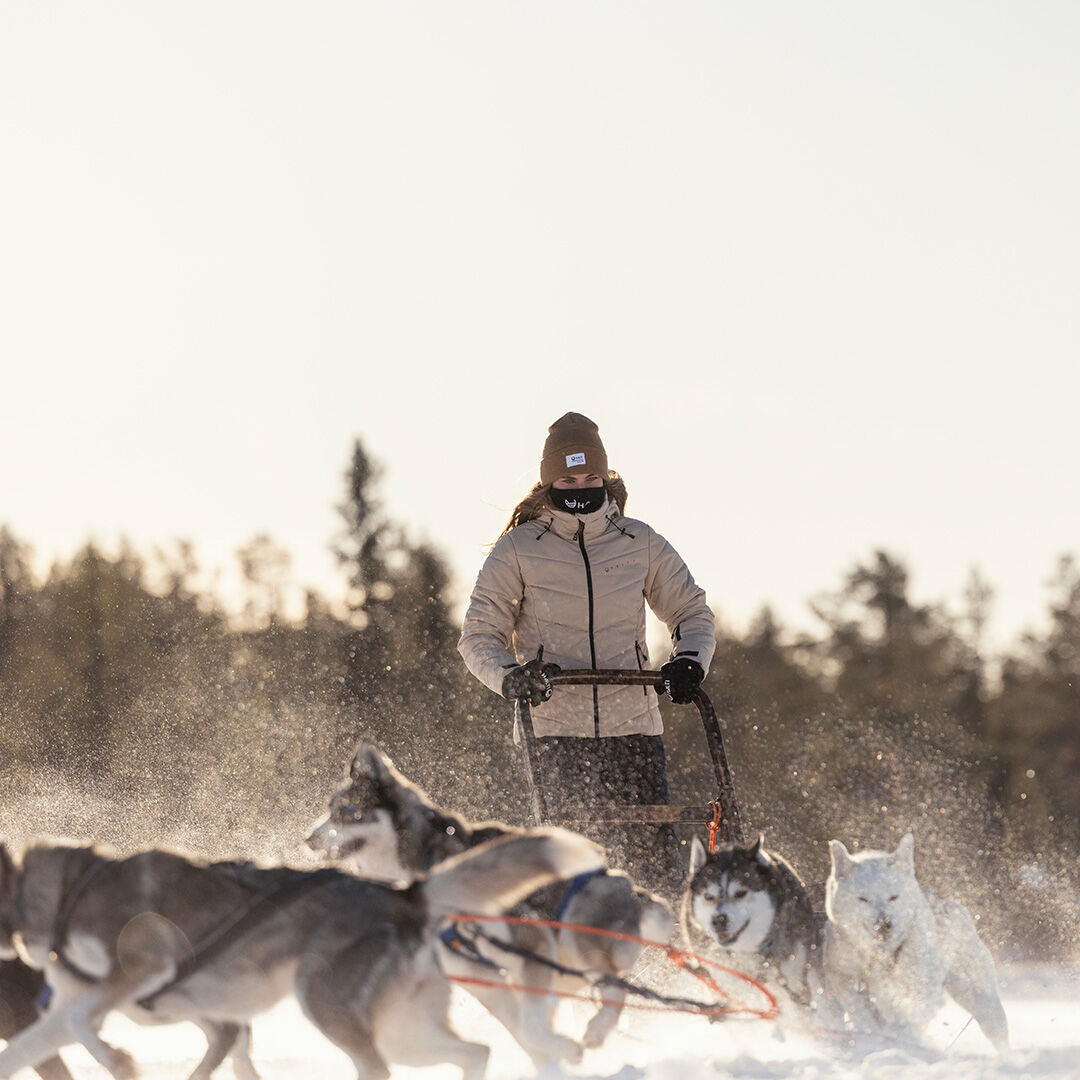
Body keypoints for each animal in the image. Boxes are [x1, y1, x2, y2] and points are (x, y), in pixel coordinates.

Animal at [0, 828, 603, 1080]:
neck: (60, 895)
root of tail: (408, 895)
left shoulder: (146, 964)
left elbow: (81, 1022)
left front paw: (119, 1060)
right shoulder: (71, 1007)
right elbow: (46, 1036)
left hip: (324, 1003)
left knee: (377, 1068)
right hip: (404, 1031)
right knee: (474, 1052)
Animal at [306, 742, 675, 1063]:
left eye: (346, 810)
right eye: (329, 810)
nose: (308, 838)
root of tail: (631, 889)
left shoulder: (532, 945)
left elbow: (532, 1029)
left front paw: (564, 1048)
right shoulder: (482, 979)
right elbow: (526, 1035)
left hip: (578, 933)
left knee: (615, 989)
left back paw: (598, 1029)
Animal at [821, 833, 1010, 1053]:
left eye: (894, 896)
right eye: (863, 899)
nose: (884, 923)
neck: (882, 956)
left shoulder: (923, 991)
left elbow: (907, 1021)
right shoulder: (842, 973)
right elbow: (858, 1009)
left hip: (977, 994)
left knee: (995, 1026)